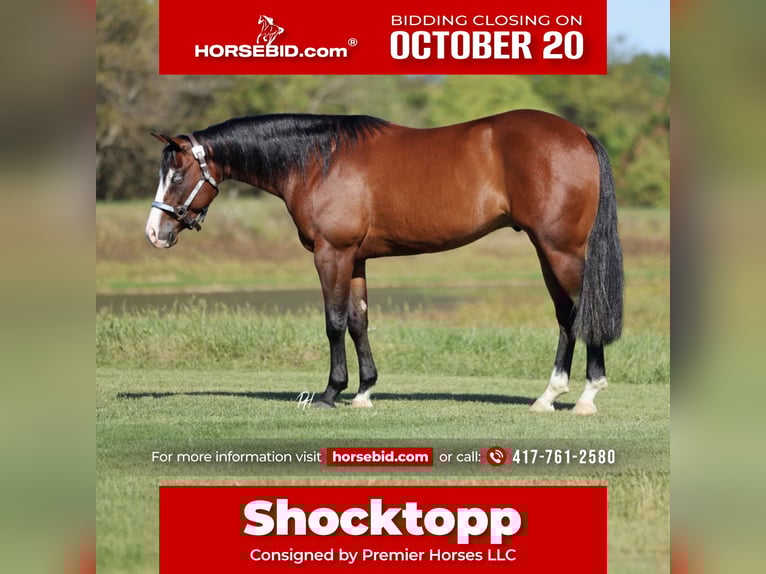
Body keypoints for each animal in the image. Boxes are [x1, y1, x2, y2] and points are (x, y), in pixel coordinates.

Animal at [145, 110, 623, 415]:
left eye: (178, 174)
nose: (154, 233)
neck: (319, 160)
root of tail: (579, 133)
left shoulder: (332, 253)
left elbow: (334, 321)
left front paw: (331, 392)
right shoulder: (355, 259)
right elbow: (359, 321)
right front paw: (363, 392)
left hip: (560, 250)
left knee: (583, 313)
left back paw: (585, 397)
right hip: (548, 251)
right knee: (566, 317)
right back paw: (548, 397)